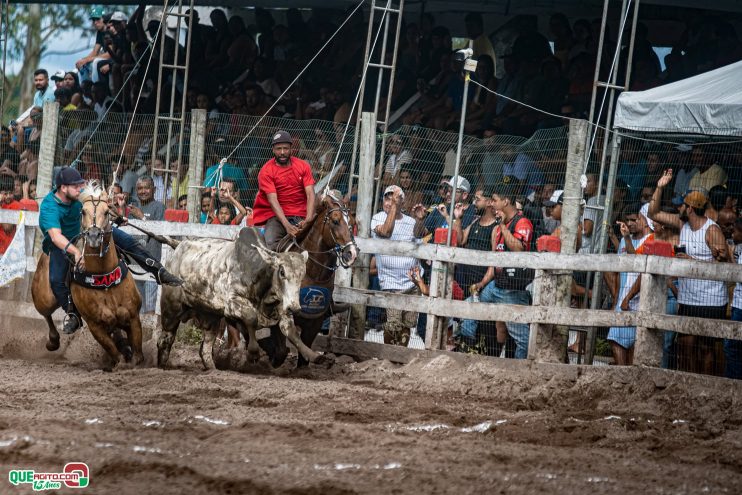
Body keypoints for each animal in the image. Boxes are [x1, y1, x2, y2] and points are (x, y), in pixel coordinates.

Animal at [30, 182, 145, 368]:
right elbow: (114, 352)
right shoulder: (95, 326)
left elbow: (138, 355)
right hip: (44, 298)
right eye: (83, 211)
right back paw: (53, 341)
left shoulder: (134, 318)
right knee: (46, 314)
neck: (104, 279)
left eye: (107, 211)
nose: (94, 236)